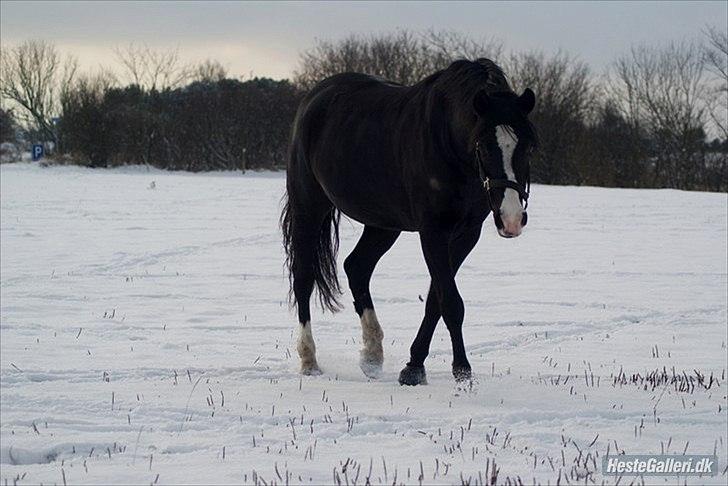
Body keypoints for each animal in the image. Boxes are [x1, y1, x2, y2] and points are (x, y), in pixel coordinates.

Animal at [281, 58, 537, 385]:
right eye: (482, 145)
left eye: (527, 146)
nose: (512, 218)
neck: (447, 141)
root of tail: (314, 97)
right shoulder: (433, 232)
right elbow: (451, 302)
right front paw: (461, 371)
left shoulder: (467, 234)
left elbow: (435, 301)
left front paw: (414, 367)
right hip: (309, 208)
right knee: (304, 276)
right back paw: (309, 360)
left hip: (383, 223)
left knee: (357, 267)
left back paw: (372, 356)